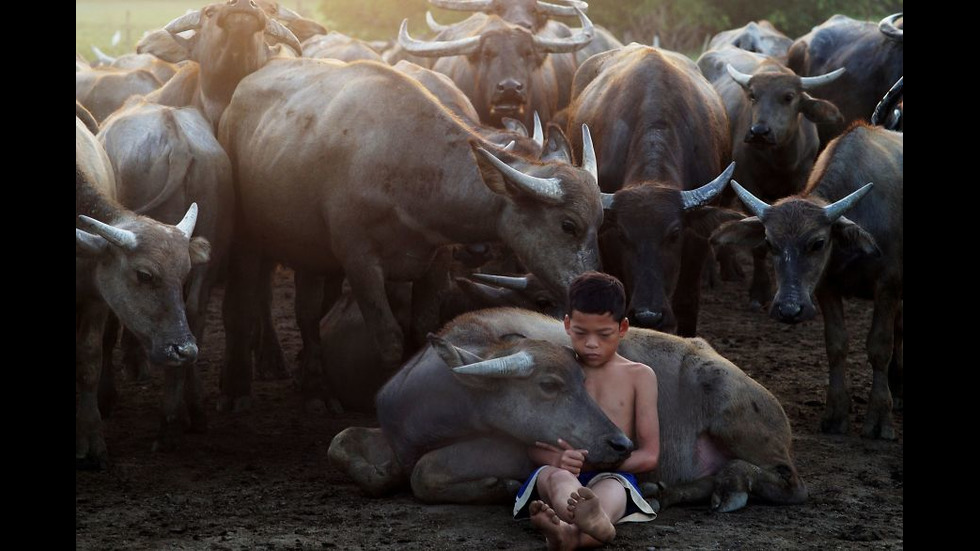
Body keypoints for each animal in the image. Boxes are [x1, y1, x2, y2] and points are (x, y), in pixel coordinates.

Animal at [712, 124, 904, 440]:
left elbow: (879, 347)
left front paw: (879, 418)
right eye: (770, 243)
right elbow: (836, 345)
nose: (789, 309)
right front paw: (835, 414)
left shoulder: (888, 285)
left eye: (818, 242)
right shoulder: (826, 288)